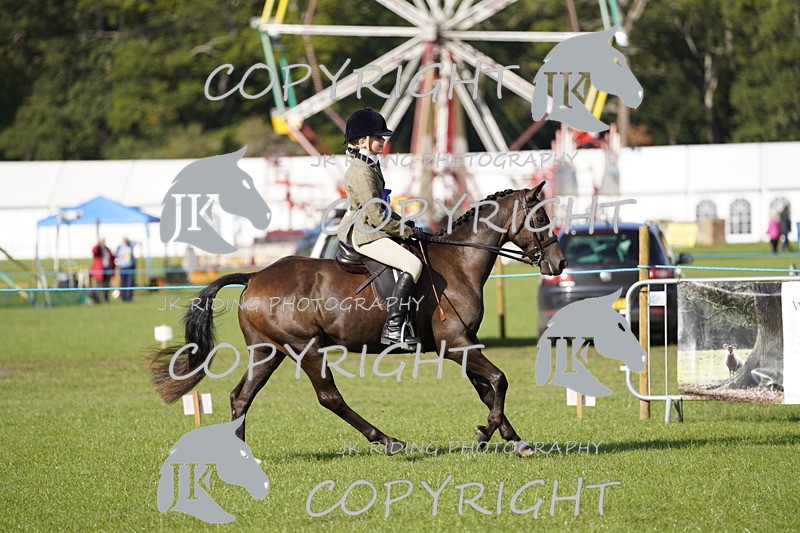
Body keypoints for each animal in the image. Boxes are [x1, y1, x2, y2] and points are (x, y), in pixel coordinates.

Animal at [147, 185, 566, 456]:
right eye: (541, 217)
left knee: (241, 397)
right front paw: (485, 434)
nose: (559, 263)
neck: (460, 262)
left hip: (269, 351)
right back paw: (387, 441)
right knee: (329, 396)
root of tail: (254, 276)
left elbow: (487, 388)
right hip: (304, 348)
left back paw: (240, 456)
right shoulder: (456, 344)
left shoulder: (463, 344)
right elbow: (499, 380)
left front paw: (515, 440)